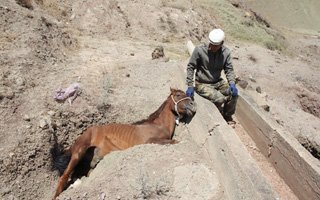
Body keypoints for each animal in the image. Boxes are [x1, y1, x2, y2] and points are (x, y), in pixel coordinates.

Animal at [50, 88, 195, 199]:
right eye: (178, 95)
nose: (192, 105)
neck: (158, 125)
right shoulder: (150, 141)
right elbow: (174, 141)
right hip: (78, 153)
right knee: (63, 177)